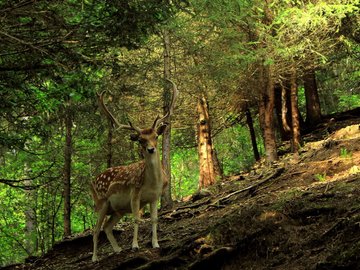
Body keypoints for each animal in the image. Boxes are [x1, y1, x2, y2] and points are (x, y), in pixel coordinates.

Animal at [91, 80, 179, 262]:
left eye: (156, 136)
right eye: (140, 140)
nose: (151, 149)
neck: (152, 183)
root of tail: (92, 181)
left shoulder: (155, 197)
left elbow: (154, 219)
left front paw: (155, 244)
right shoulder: (134, 193)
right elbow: (137, 220)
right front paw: (135, 246)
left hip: (117, 210)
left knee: (107, 227)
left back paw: (118, 249)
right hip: (101, 203)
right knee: (96, 230)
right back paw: (95, 258)